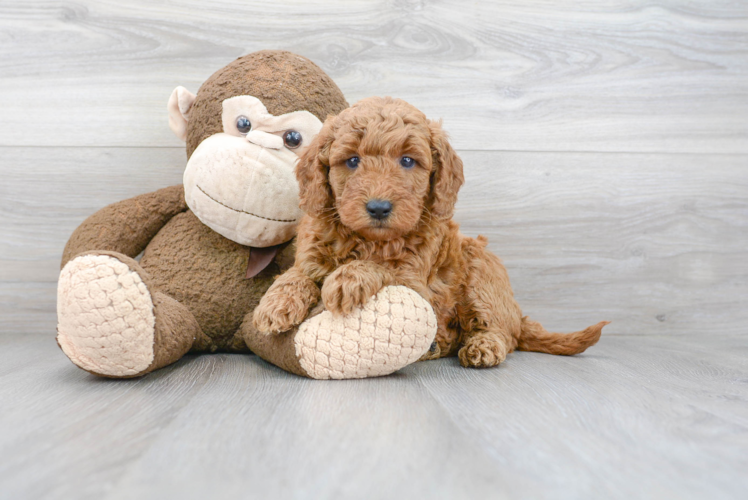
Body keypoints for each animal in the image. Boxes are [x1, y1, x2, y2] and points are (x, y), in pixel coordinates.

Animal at [254, 96, 612, 368]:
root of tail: (517, 314)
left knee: (501, 333)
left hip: (481, 272)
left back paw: (482, 347)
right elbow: (297, 273)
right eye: (352, 161)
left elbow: (381, 268)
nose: (379, 208)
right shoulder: (312, 253)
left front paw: (347, 279)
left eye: (408, 161)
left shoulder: (415, 282)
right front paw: (274, 304)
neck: (369, 241)